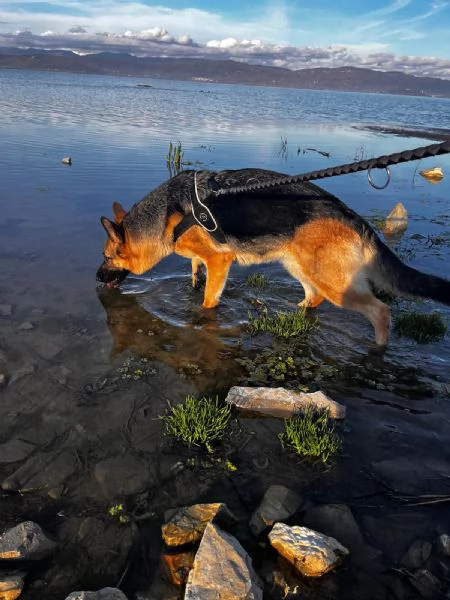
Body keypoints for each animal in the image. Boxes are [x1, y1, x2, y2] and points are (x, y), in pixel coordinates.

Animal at [96, 170, 450, 346]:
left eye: (107, 257)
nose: (96, 279)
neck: (168, 213)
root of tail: (353, 217)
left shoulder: (220, 262)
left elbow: (209, 301)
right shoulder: (202, 258)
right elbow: (195, 270)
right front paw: (193, 279)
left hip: (336, 283)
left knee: (380, 311)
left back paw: (378, 348)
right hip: (298, 266)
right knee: (314, 298)